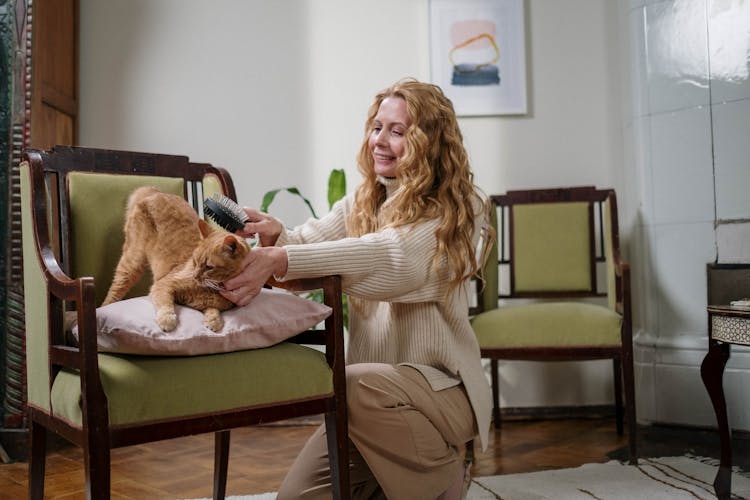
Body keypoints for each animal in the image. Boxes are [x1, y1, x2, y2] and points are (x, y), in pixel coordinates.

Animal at [102, 188, 253, 332]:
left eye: (209, 267)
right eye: (195, 261)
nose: (195, 276)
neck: (210, 289)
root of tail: (156, 192)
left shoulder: (205, 303)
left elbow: (213, 310)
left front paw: (214, 321)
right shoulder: (163, 285)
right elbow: (165, 305)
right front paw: (167, 320)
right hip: (132, 263)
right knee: (113, 294)